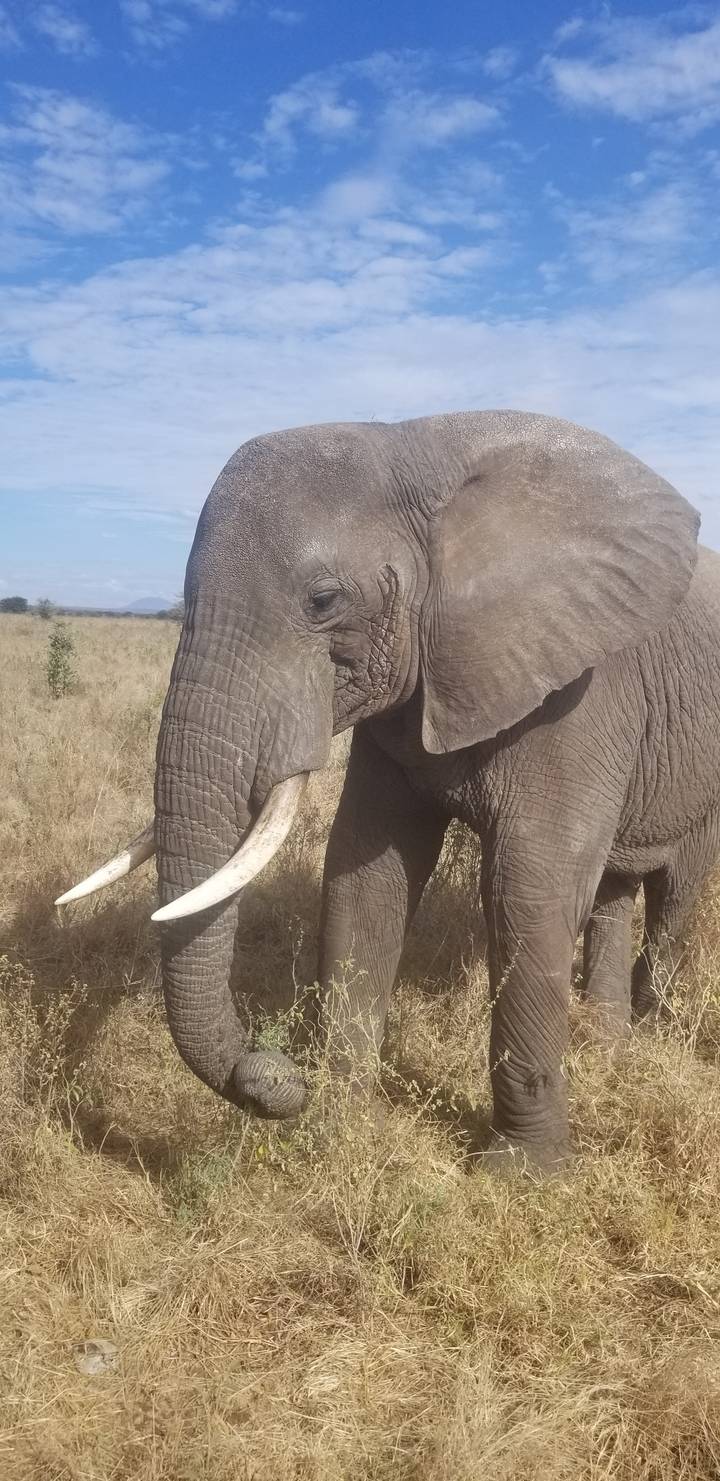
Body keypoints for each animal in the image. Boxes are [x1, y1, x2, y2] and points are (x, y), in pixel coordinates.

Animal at [57, 410, 720, 1169]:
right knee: (615, 890)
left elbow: (529, 888)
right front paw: (337, 1127)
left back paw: (652, 1042)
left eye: (323, 600)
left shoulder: (581, 689)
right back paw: (609, 1044)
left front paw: (520, 1173)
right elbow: (365, 872)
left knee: (675, 892)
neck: (412, 444)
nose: (271, 1071)